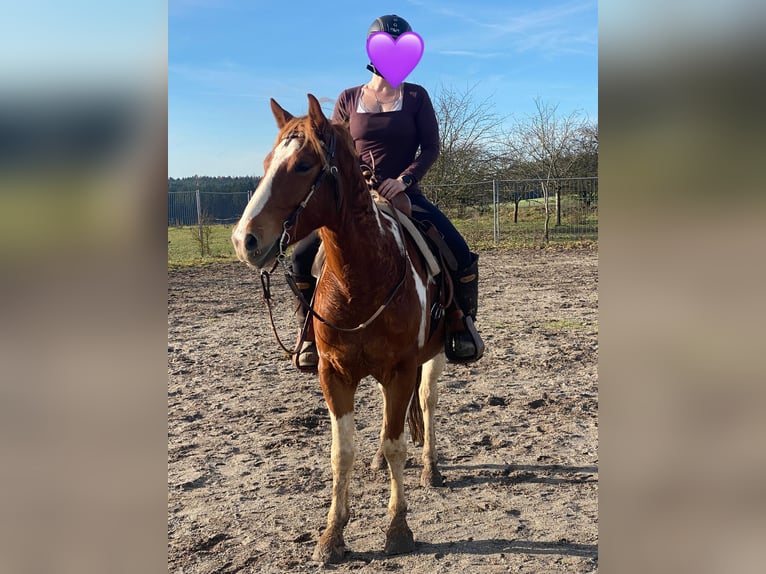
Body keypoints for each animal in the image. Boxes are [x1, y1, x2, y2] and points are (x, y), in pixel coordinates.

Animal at [231, 94, 448, 564]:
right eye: (267, 162)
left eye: (303, 165)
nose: (244, 240)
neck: (360, 280)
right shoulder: (334, 373)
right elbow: (341, 453)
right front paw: (332, 535)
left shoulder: (400, 370)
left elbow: (397, 443)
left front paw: (398, 529)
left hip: (434, 358)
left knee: (426, 402)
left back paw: (431, 467)